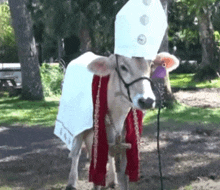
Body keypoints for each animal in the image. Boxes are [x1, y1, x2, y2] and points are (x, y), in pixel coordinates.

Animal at [62, 51, 180, 190]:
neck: (117, 116)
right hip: (77, 127)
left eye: (151, 65)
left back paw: (112, 180)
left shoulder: (125, 143)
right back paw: (71, 182)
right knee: (76, 152)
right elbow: (96, 174)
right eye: (123, 67)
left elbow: (123, 176)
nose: (147, 101)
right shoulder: (94, 139)